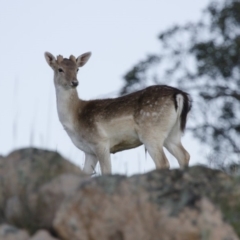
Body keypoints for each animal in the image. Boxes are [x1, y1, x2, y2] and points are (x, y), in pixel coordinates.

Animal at [44, 51, 191, 174]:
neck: (74, 119)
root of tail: (179, 94)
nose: (74, 82)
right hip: (173, 133)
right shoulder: (89, 152)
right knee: (184, 155)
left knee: (163, 162)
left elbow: (106, 172)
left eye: (77, 69)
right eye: (60, 69)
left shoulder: (100, 142)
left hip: (151, 132)